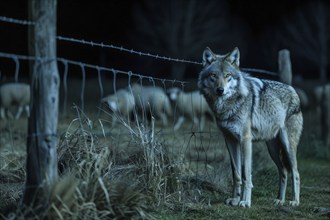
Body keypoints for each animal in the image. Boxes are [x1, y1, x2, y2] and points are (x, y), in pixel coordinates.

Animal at [197, 46, 302, 208]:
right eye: (213, 75)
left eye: (227, 75)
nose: (220, 90)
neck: (228, 107)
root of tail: (293, 90)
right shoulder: (230, 140)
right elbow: (236, 174)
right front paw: (235, 199)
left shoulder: (245, 140)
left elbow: (246, 174)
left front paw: (245, 201)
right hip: (272, 149)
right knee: (284, 171)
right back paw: (279, 200)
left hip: (287, 146)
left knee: (295, 173)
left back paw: (294, 201)